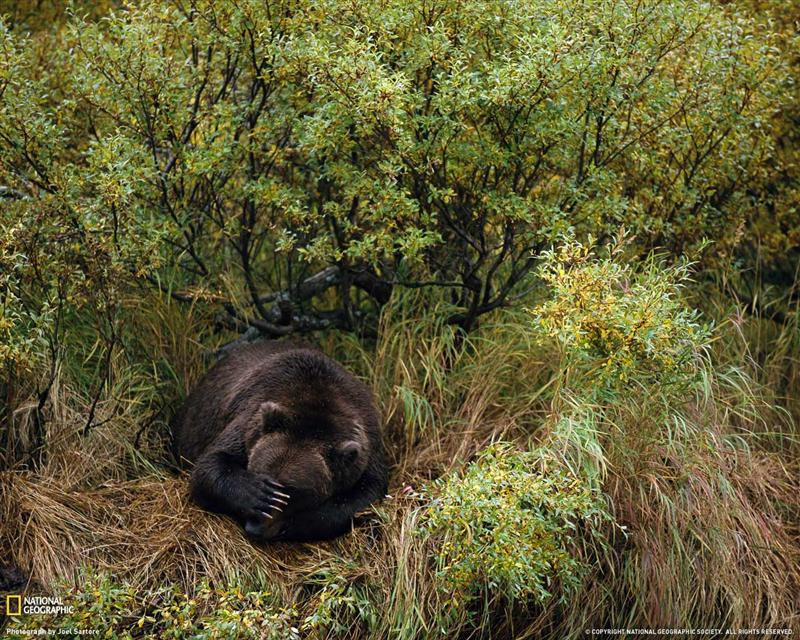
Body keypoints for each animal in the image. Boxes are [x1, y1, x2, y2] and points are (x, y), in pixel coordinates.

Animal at [173, 340, 390, 540]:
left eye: (293, 492)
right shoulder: (250, 419)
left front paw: (298, 523)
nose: (255, 527)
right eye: (259, 473)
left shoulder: (367, 444)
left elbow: (366, 494)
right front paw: (258, 494)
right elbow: (211, 463)